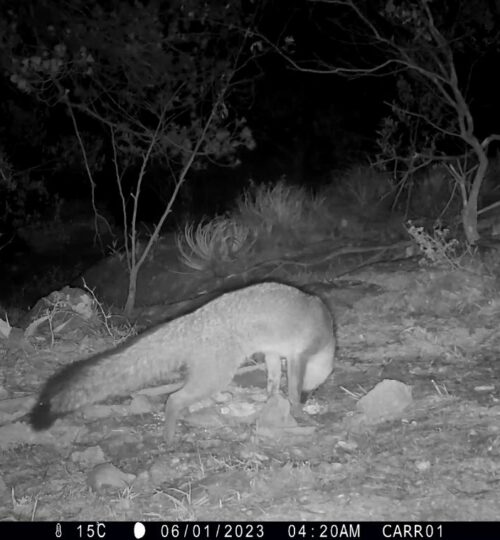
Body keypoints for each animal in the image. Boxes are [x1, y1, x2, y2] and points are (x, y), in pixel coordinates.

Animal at [30, 280, 336, 446]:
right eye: (314, 390)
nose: (309, 398)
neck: (325, 329)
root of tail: (194, 317)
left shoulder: (274, 353)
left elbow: (273, 381)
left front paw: (273, 399)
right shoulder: (298, 356)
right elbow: (291, 387)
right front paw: (298, 409)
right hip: (216, 376)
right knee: (174, 399)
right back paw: (169, 438)